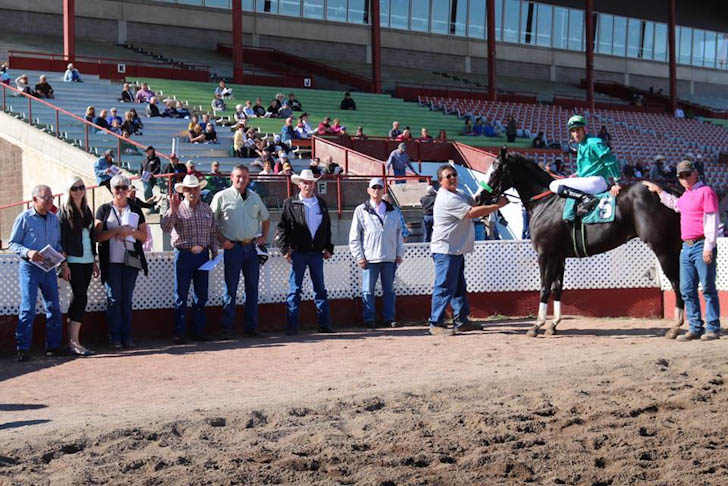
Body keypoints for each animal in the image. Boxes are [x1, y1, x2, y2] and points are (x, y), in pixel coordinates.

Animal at [480, 148, 684, 338]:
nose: (478, 197)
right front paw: (553, 324)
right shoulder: (559, 256)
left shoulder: (545, 254)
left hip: (662, 247)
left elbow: (545, 287)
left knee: (676, 281)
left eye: (494, 171)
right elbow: (557, 288)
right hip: (673, 246)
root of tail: (672, 192)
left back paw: (676, 326)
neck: (546, 202)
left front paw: (537, 325)